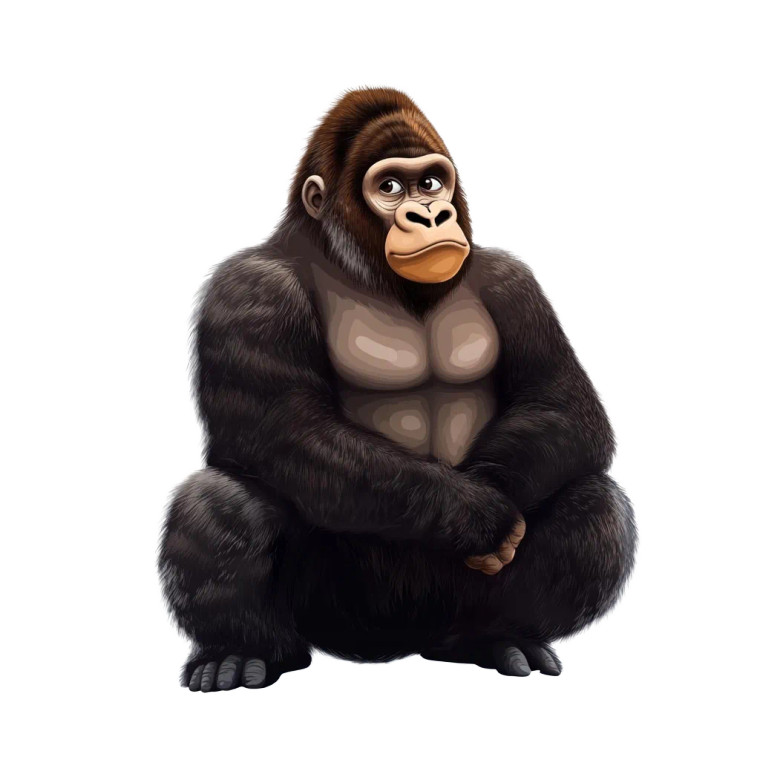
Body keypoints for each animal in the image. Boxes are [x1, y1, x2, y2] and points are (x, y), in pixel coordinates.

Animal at [158, 88, 637, 691]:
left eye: (430, 182)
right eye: (389, 187)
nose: (431, 214)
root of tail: (400, 648)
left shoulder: (514, 283)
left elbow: (564, 403)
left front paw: (494, 494)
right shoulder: (248, 290)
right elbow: (286, 430)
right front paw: (480, 516)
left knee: (598, 506)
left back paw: (493, 638)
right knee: (218, 501)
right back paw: (244, 652)